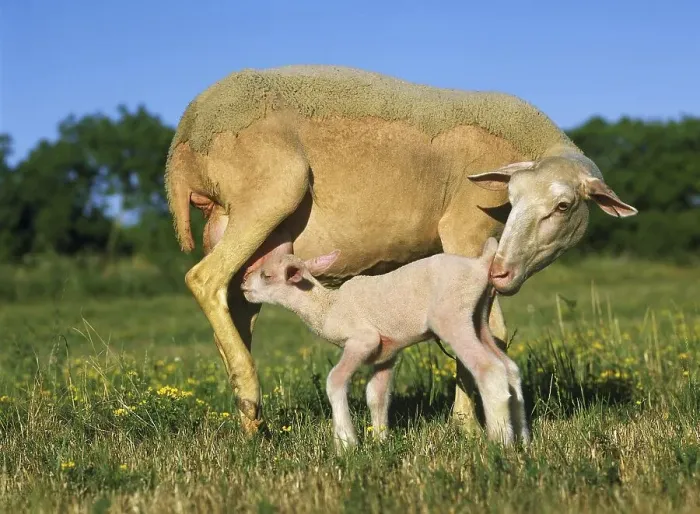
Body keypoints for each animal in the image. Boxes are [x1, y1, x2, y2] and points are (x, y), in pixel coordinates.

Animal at [241, 237, 529, 449]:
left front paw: (346, 442)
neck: (328, 308)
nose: (243, 284)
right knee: (510, 368)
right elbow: (376, 395)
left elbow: (335, 380)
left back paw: (500, 441)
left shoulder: (363, 340)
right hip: (478, 317)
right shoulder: (386, 352)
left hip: (452, 317)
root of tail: (479, 266)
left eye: (266, 276)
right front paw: (380, 440)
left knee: (489, 369)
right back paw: (523, 438)